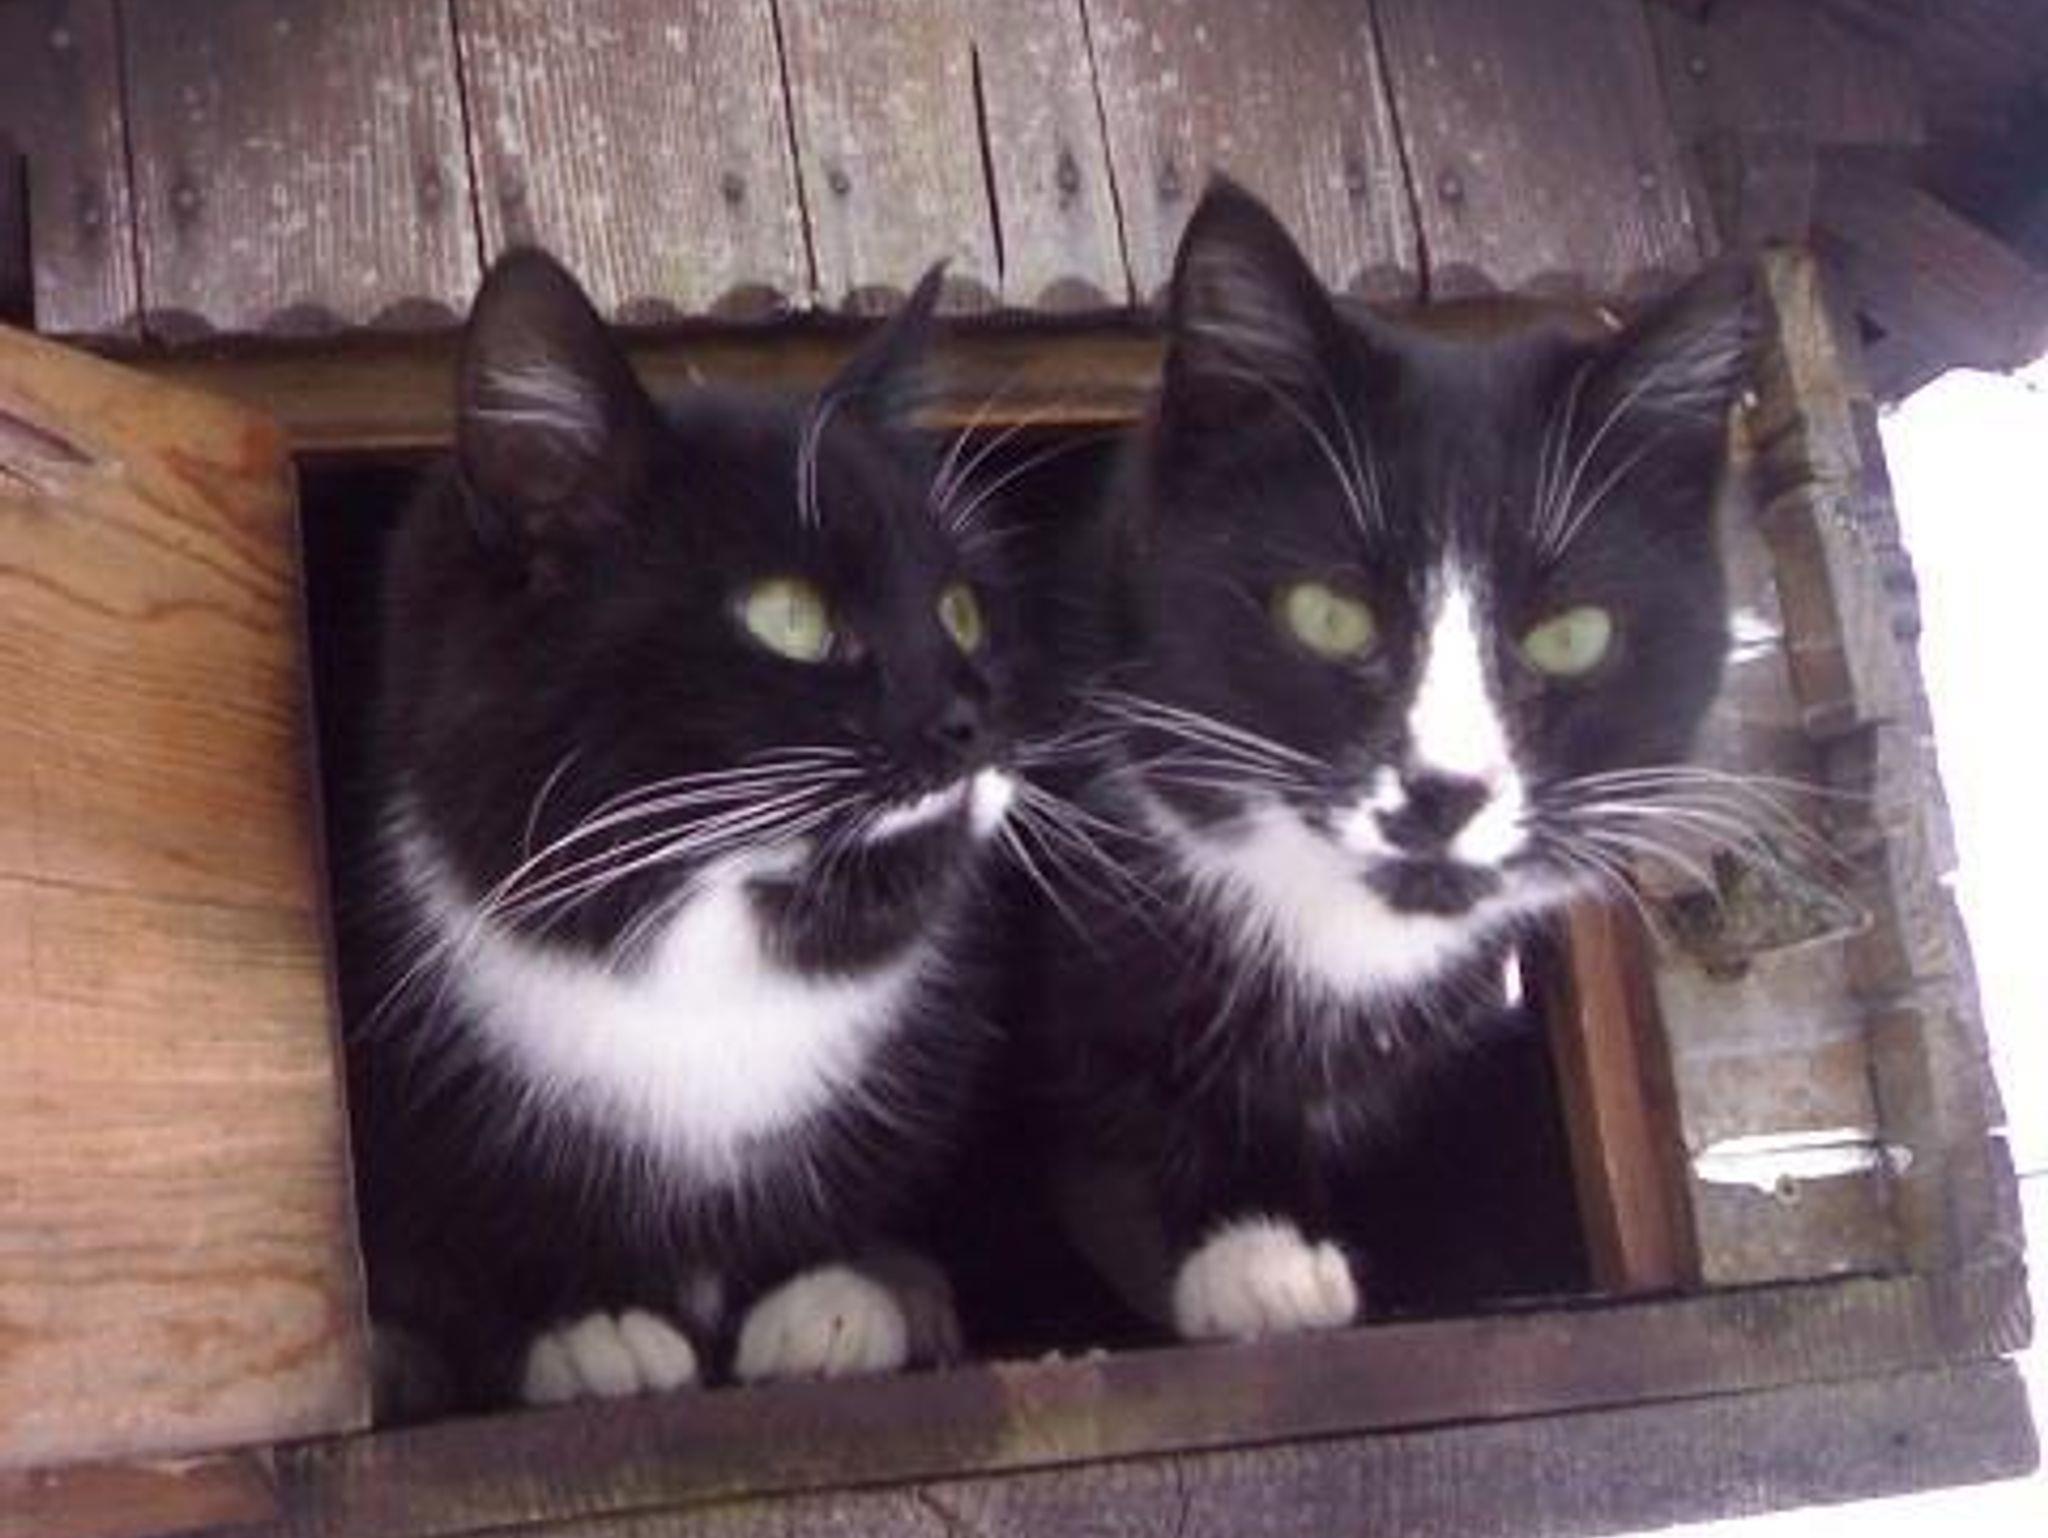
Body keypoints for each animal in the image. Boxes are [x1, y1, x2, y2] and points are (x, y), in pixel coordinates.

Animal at [345, 249, 1023, 1415]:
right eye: (789, 615)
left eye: (959, 614)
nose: (968, 717)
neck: (703, 971)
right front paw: (594, 1325)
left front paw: (838, 1292)